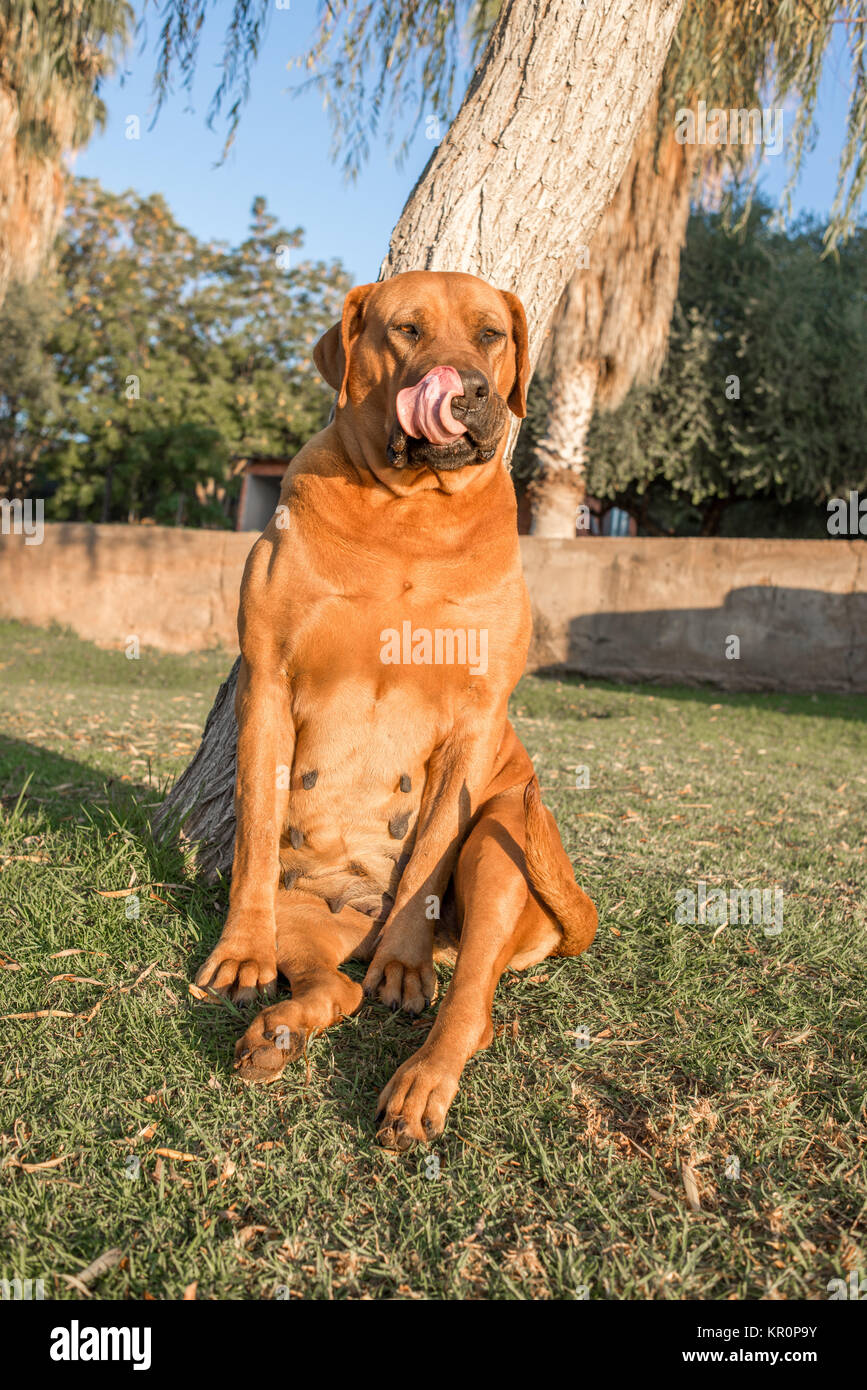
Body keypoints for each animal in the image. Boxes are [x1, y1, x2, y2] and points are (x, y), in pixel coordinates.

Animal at [195, 271, 594, 1150]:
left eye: (489, 335)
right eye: (405, 330)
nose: (468, 390)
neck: (408, 514)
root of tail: (359, 927)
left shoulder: (476, 720)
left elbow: (433, 847)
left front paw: (406, 964)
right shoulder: (267, 684)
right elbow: (252, 837)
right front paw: (240, 953)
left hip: (503, 843)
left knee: (469, 1004)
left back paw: (418, 1077)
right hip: (308, 918)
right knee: (335, 988)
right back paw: (279, 1031)